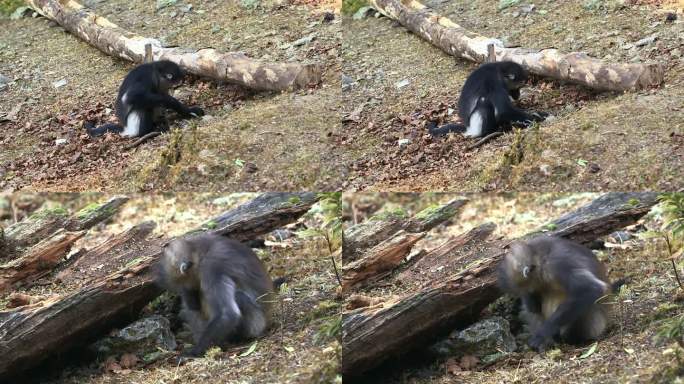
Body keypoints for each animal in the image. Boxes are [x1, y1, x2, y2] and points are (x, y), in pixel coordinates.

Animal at [494, 234, 624, 352]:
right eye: (524, 291)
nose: (528, 295)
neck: (539, 256)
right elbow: (533, 308)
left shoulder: (558, 265)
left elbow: (591, 288)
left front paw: (542, 334)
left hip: (594, 325)